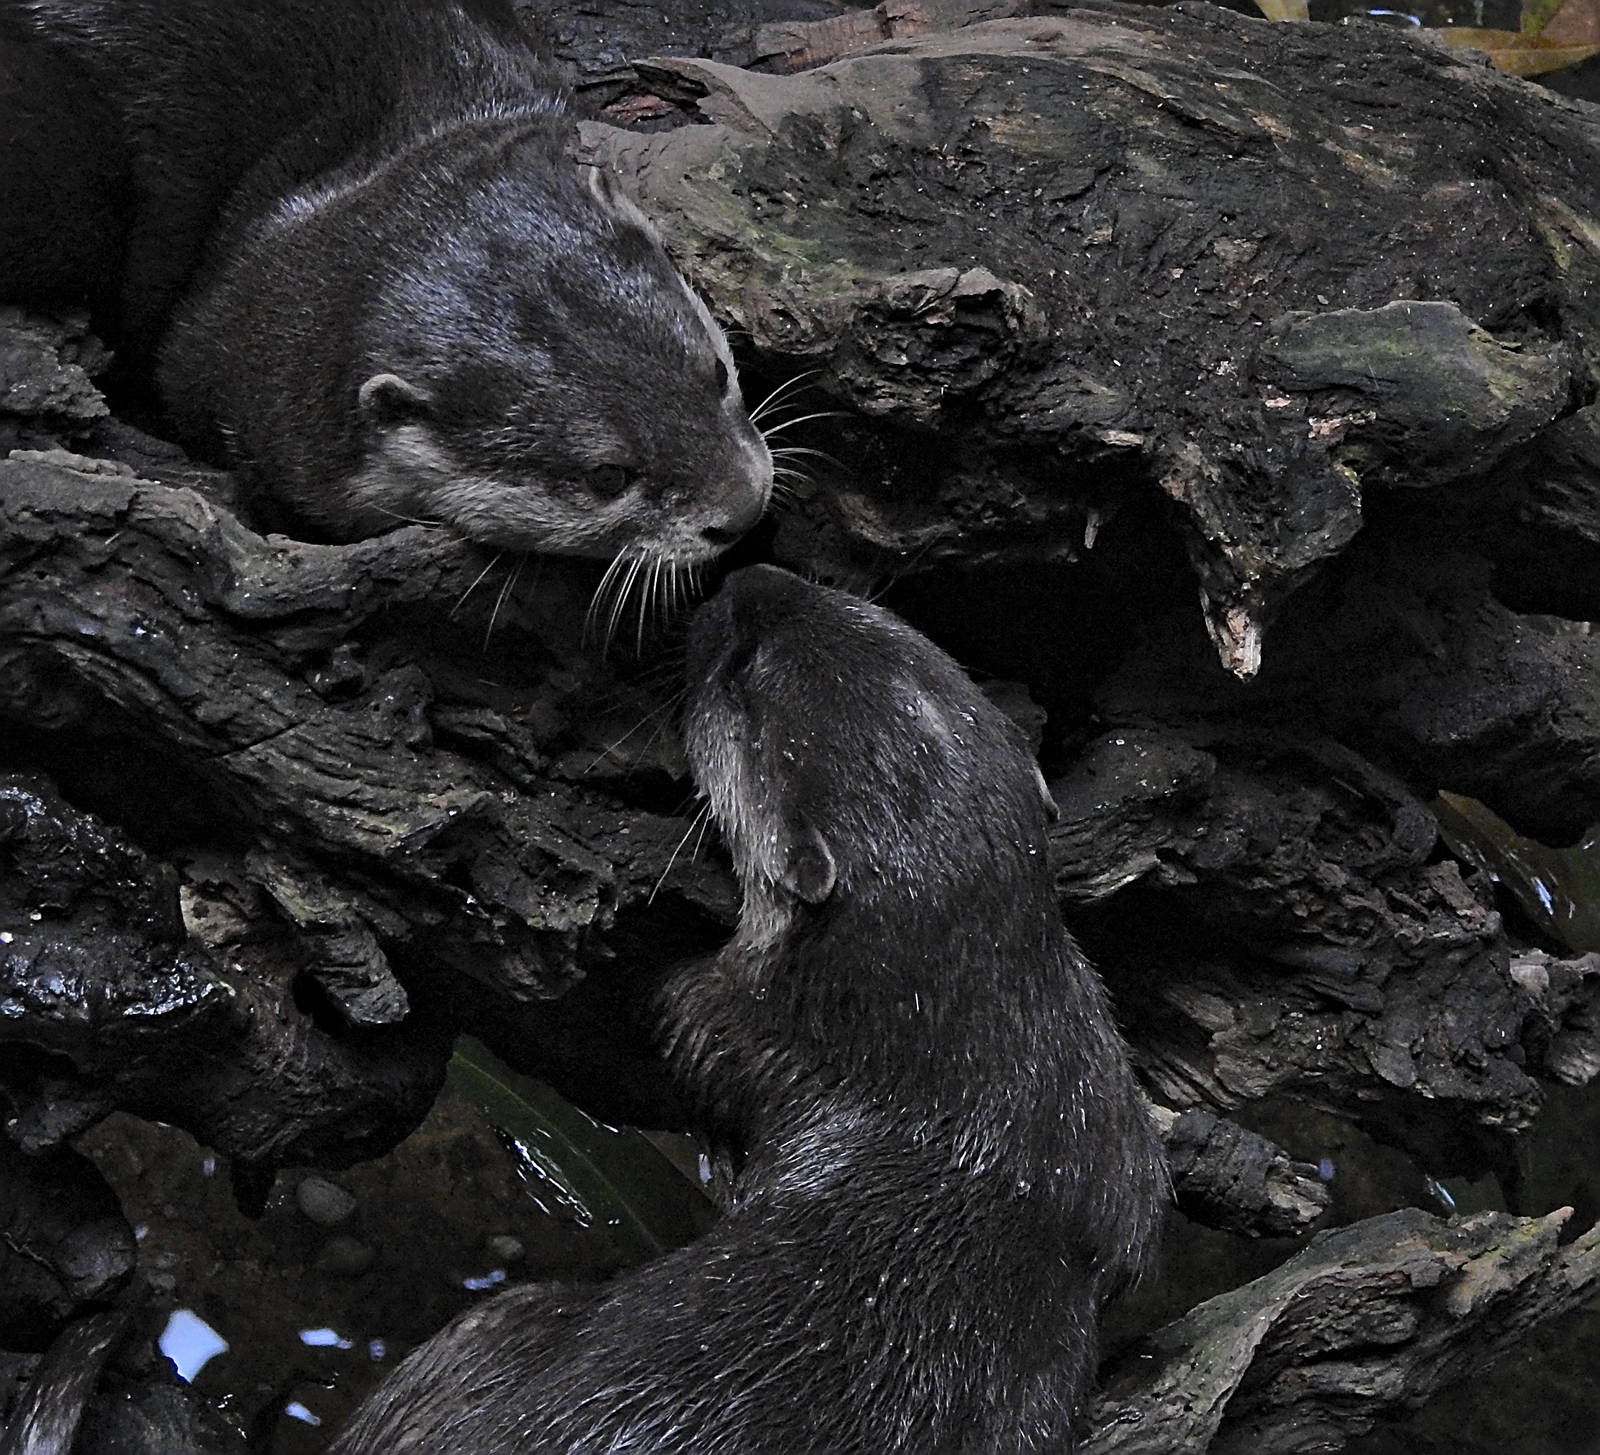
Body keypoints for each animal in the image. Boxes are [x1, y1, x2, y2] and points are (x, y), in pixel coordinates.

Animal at [332, 564, 1168, 1454]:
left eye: (740, 669)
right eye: (868, 611)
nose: (749, 576)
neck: (973, 1042)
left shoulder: (719, 1016)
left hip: (487, 1330)